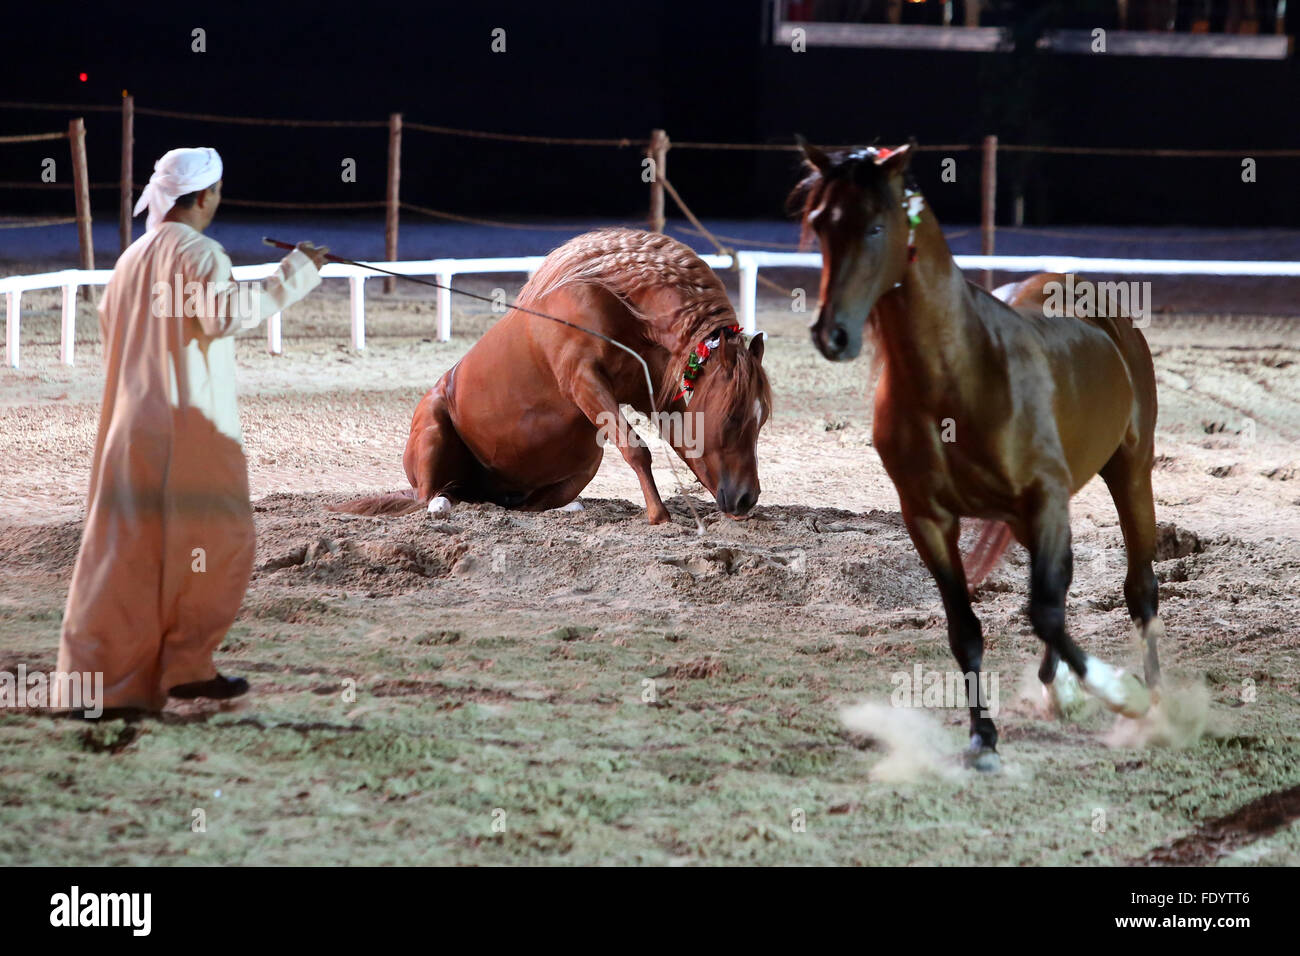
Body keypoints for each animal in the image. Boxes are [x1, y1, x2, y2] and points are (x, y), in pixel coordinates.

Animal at [334, 228, 772, 525]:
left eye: (762, 418)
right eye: (733, 416)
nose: (747, 498)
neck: (616, 300)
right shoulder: (584, 382)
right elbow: (636, 449)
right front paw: (659, 516)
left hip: (582, 462)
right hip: (432, 435)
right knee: (428, 496)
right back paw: (441, 505)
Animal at [794, 140, 1162, 771]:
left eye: (875, 225)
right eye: (820, 223)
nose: (832, 335)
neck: (956, 374)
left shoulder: (1044, 500)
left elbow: (1045, 611)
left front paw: (1121, 694)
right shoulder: (929, 519)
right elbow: (966, 627)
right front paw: (983, 737)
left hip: (1130, 471)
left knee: (1139, 592)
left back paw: (1157, 705)